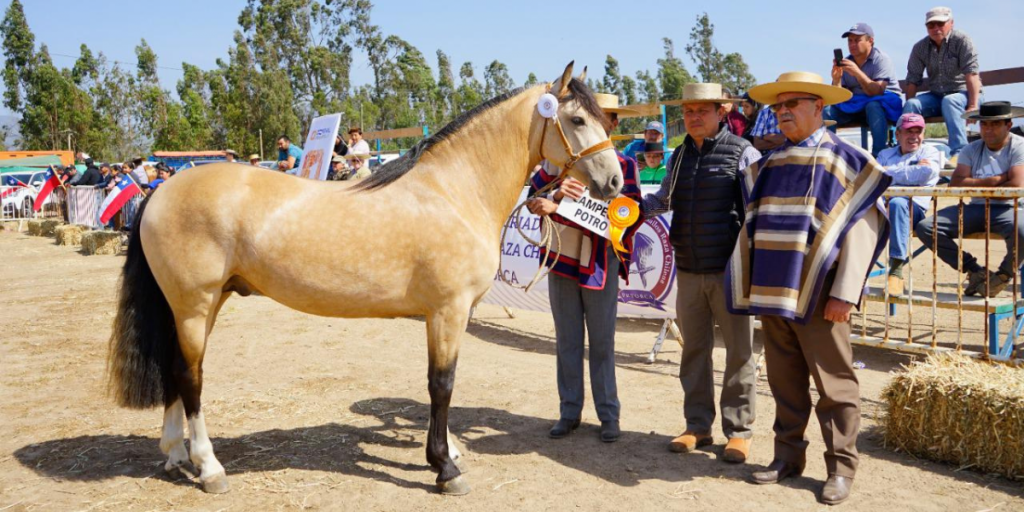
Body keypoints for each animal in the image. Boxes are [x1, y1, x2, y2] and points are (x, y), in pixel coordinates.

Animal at [110, 61, 622, 493]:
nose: (615, 183)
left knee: (175, 371)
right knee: (189, 375)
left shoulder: (445, 314)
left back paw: (177, 455)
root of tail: (161, 191)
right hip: (194, 304)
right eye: (578, 120)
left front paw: (449, 451)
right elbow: (442, 384)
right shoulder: (448, 310)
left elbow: (441, 384)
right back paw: (210, 467)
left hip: (201, 304)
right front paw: (445, 468)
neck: (453, 191)